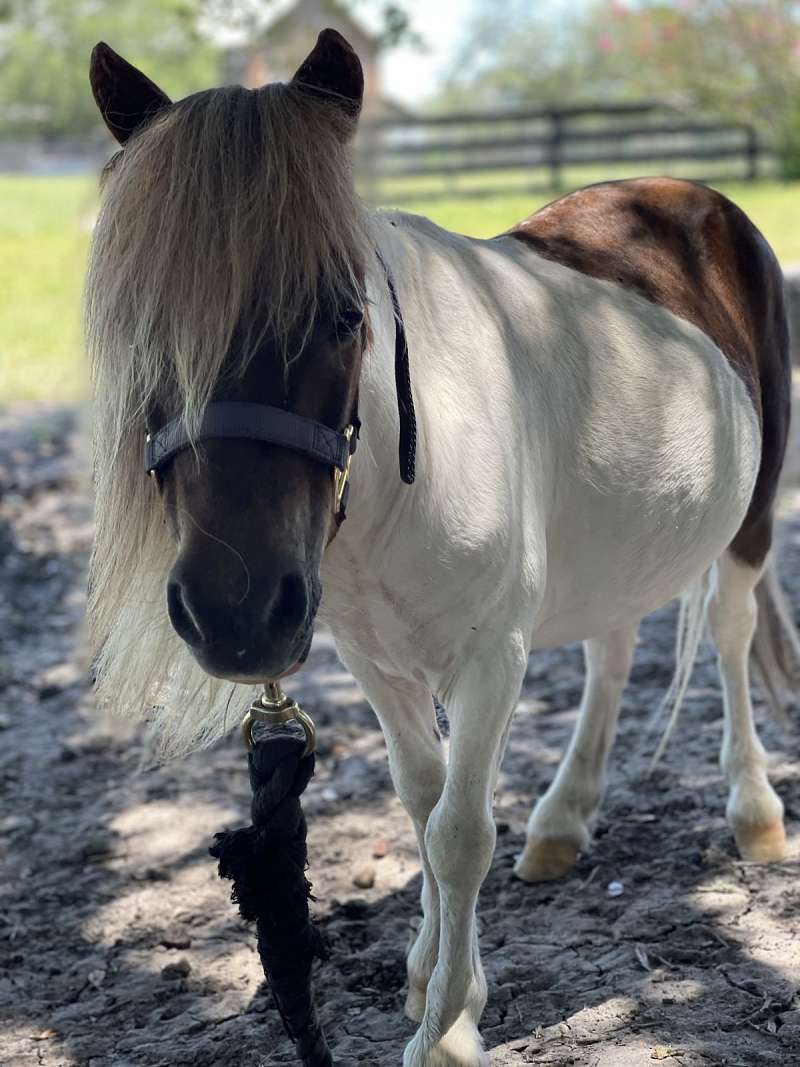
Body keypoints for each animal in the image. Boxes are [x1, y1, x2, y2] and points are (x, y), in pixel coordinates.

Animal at [85, 29, 798, 1067]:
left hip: (749, 525)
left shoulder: (491, 655)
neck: (399, 473)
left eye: (345, 314)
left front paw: (448, 1027)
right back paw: (563, 820)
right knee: (611, 648)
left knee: (733, 636)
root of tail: (688, 195)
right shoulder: (374, 661)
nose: (234, 609)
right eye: (144, 329)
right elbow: (421, 808)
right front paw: (433, 977)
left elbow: (460, 832)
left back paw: (754, 814)